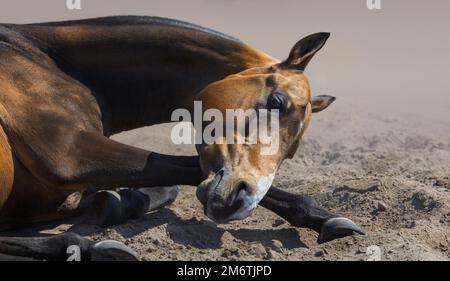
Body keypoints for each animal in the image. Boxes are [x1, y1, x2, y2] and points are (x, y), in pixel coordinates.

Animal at [0, 16, 364, 260]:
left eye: (292, 153)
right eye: (276, 102)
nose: (239, 203)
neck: (43, 60)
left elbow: (167, 186)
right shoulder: (68, 154)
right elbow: (185, 167)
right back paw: (93, 248)